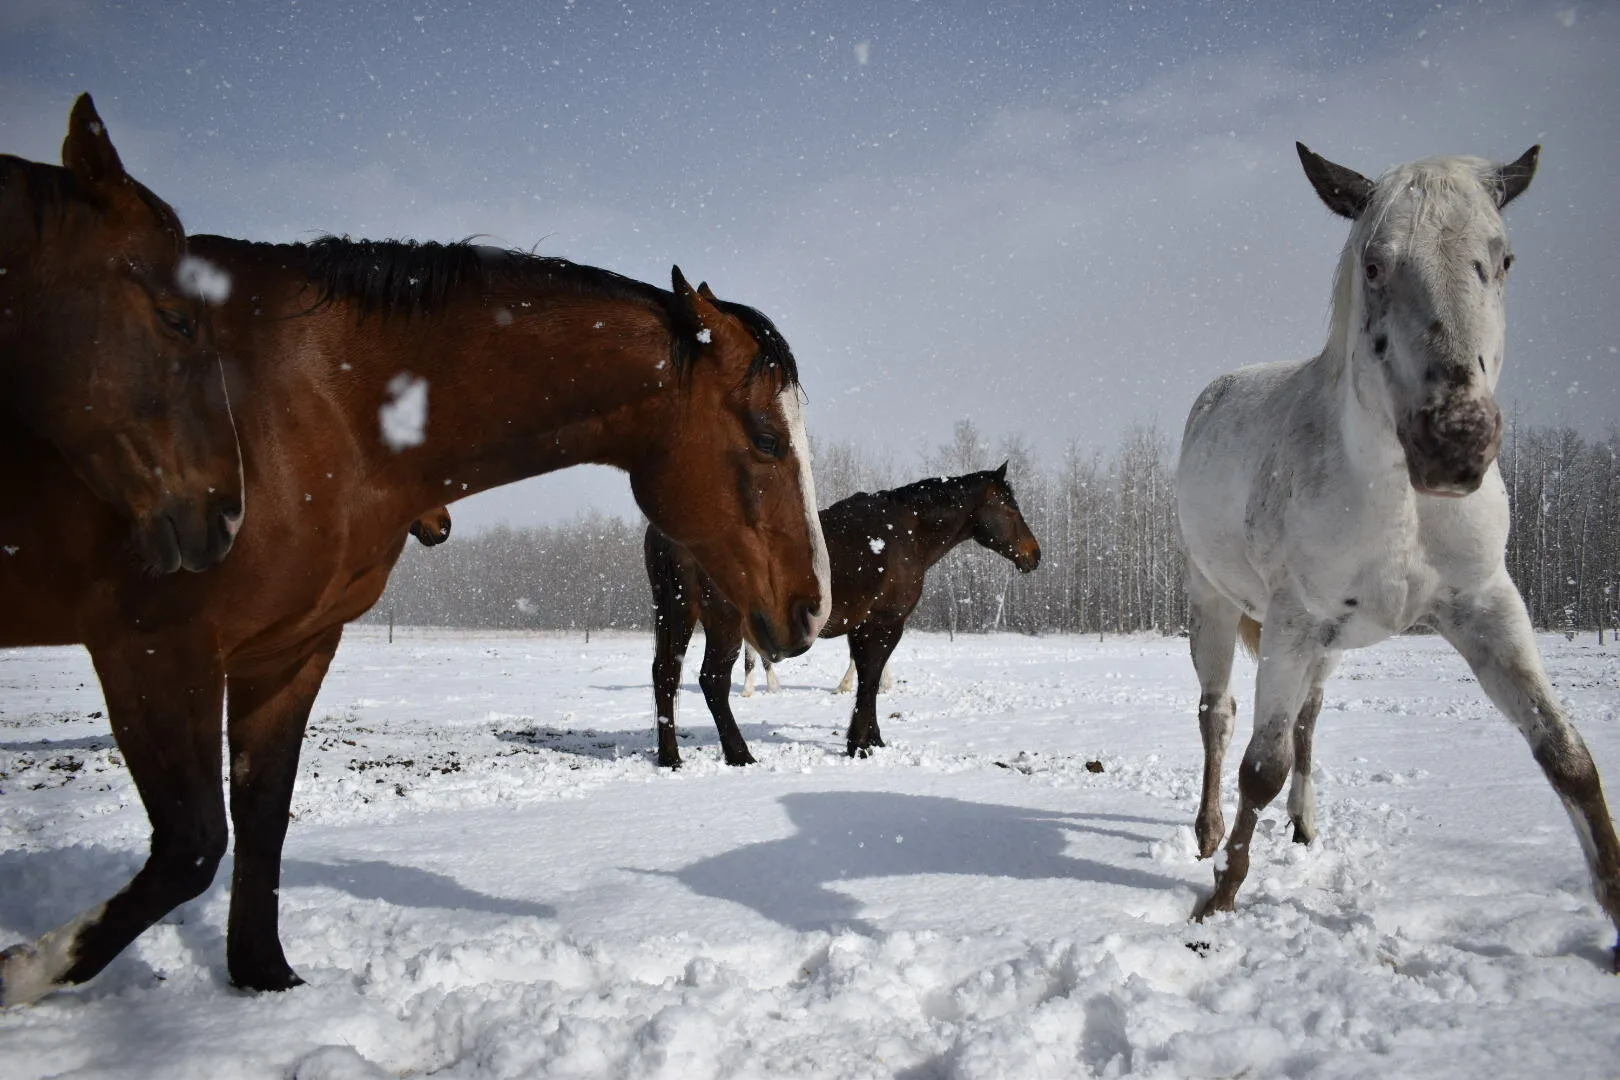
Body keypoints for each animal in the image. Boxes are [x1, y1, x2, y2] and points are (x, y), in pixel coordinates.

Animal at [0, 235, 830, 1005]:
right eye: (766, 437)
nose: (813, 605)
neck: (320, 400)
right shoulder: (157, 646)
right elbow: (192, 844)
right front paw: (24, 972)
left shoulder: (292, 649)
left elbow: (262, 817)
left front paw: (268, 984)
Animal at [647, 463, 1039, 766]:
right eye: (1010, 509)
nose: (1033, 554)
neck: (906, 531)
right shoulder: (886, 623)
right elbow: (870, 679)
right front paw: (859, 745)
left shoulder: (861, 627)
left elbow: (867, 675)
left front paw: (872, 739)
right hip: (723, 625)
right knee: (713, 680)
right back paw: (740, 754)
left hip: (676, 616)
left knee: (665, 674)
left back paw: (671, 757)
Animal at [1176, 142, 1620, 968]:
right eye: (1375, 264)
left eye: (1503, 258)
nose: (1456, 439)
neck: (1401, 503)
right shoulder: (1292, 620)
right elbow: (1259, 765)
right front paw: (1219, 900)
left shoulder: (1488, 608)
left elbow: (1566, 753)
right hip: (1215, 605)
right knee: (1218, 717)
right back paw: (1208, 833)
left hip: (1329, 646)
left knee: (1308, 719)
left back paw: (1305, 825)